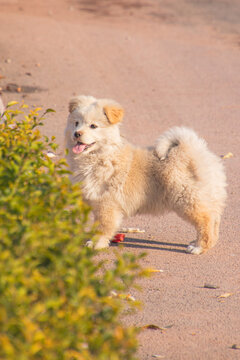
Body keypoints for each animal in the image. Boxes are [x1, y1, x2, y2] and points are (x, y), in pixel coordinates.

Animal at [64, 95, 227, 253]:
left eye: (93, 126)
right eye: (76, 123)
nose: (77, 134)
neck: (102, 155)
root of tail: (194, 151)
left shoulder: (106, 204)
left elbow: (103, 228)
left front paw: (96, 244)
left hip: (187, 200)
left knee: (206, 221)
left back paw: (198, 247)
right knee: (214, 220)